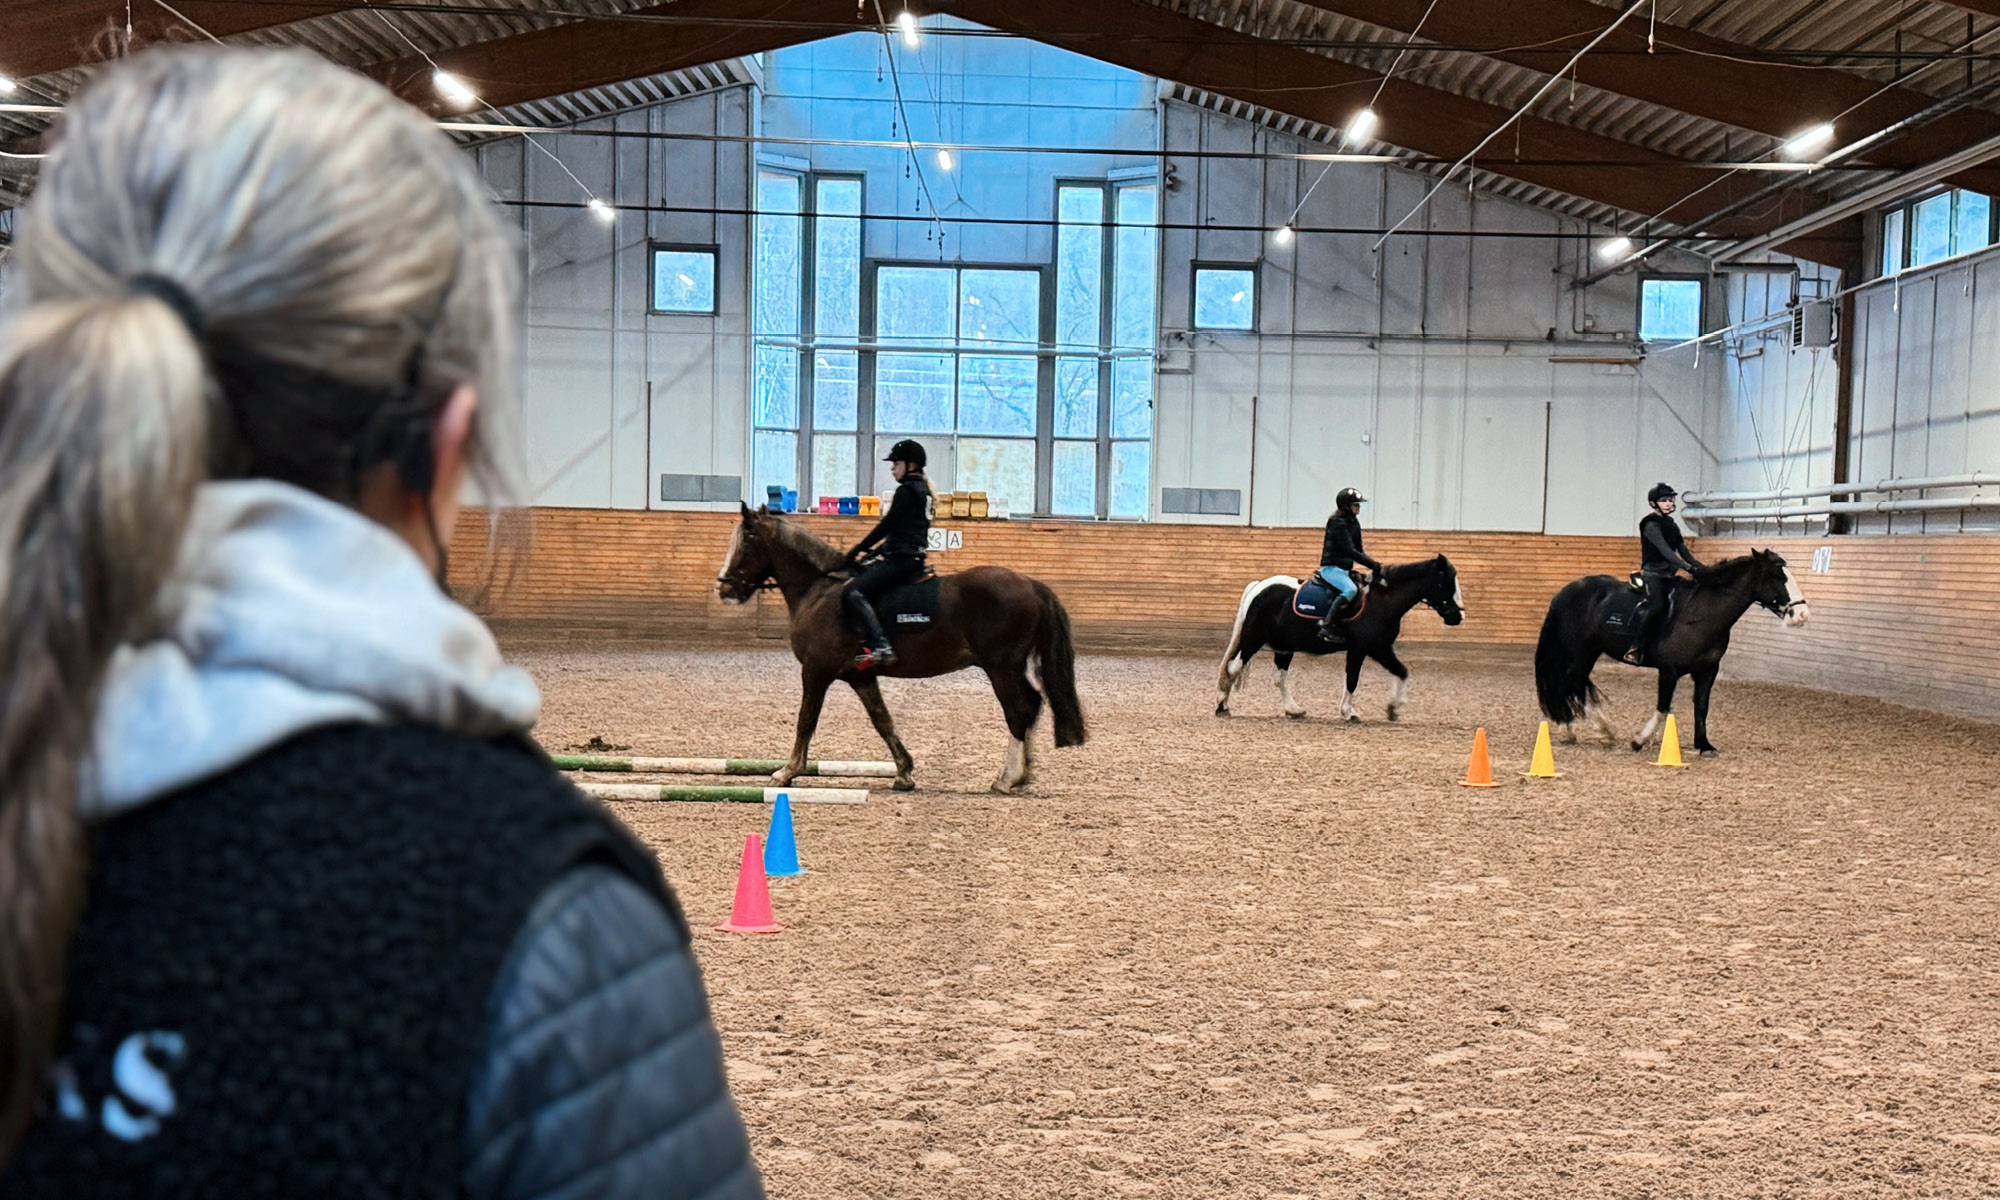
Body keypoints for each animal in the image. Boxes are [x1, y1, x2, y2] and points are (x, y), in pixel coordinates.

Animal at [716, 504, 1088, 792]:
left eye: (747, 540)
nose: (725, 588)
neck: (820, 591)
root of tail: (1030, 583)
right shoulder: (860, 677)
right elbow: (883, 721)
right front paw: (905, 772)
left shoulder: (816, 670)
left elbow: (806, 720)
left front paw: (786, 772)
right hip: (1009, 666)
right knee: (1032, 704)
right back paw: (1024, 774)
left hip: (1001, 666)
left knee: (1019, 710)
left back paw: (1007, 778)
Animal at [1208, 556, 1464, 716]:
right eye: (1446, 582)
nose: (1458, 616)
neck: (1382, 601)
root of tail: (1260, 586)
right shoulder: (1361, 649)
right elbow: (1352, 679)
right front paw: (1349, 712)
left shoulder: (1380, 648)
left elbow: (1401, 672)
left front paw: (1393, 708)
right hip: (1253, 639)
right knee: (1234, 668)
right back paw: (1222, 706)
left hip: (1284, 647)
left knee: (1278, 678)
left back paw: (1293, 710)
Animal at [1528, 548, 1816, 756]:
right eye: (1777, 577)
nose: (1802, 614)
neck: (1702, 614)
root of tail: (1568, 590)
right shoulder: (1669, 670)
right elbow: (1663, 707)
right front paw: (1640, 740)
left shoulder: (1708, 670)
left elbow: (1702, 707)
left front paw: (1704, 745)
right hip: (1578, 650)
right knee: (1568, 681)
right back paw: (1590, 729)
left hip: (1589, 651)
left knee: (1573, 682)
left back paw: (1586, 730)